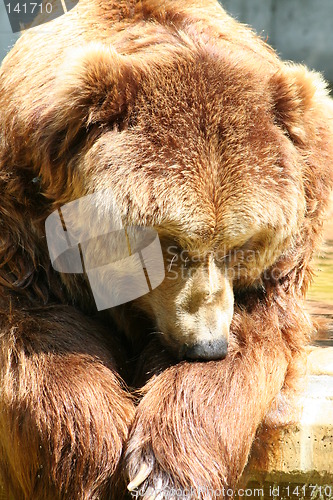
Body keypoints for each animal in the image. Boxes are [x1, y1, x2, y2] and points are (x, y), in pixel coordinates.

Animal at [0, 0, 332, 498]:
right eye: (168, 243)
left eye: (242, 245)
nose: (207, 344)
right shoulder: (22, 222)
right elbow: (37, 331)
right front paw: (94, 461)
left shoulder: (282, 261)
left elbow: (255, 331)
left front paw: (163, 471)